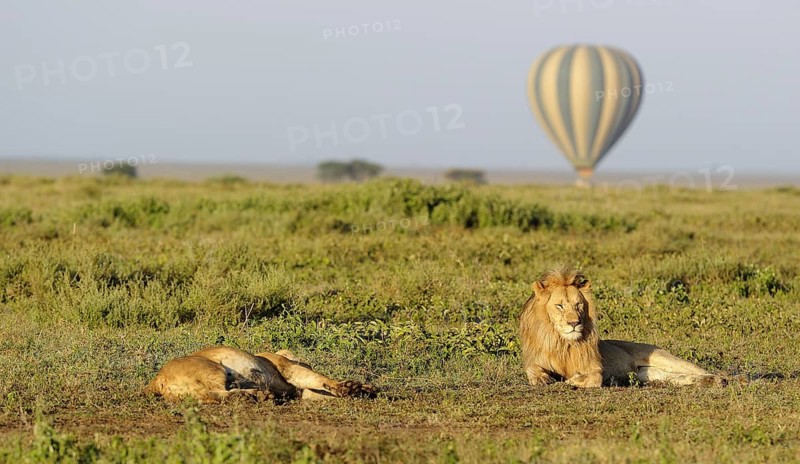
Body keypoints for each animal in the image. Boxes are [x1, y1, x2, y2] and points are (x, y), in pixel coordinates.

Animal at [519, 268, 725, 387]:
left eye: (578, 305)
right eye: (559, 306)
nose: (574, 323)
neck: (563, 343)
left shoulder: (595, 367)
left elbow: (593, 379)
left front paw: (572, 380)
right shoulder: (535, 359)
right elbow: (532, 370)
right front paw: (542, 378)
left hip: (664, 358)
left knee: (700, 370)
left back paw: (721, 380)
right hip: (648, 373)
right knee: (678, 377)